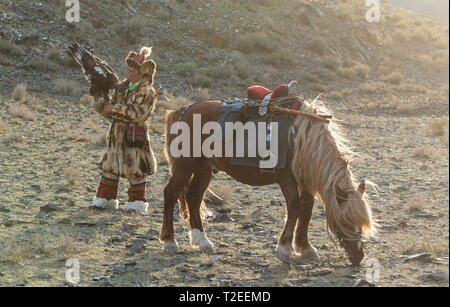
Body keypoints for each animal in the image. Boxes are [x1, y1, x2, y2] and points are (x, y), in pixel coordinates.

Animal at [159, 99, 376, 268]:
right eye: (344, 221)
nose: (358, 257)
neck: (301, 141)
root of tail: (180, 111)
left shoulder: (306, 183)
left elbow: (306, 211)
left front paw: (305, 247)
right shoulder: (287, 180)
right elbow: (295, 208)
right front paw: (284, 248)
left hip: (203, 169)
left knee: (193, 198)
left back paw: (203, 241)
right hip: (184, 168)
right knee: (170, 194)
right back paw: (170, 241)